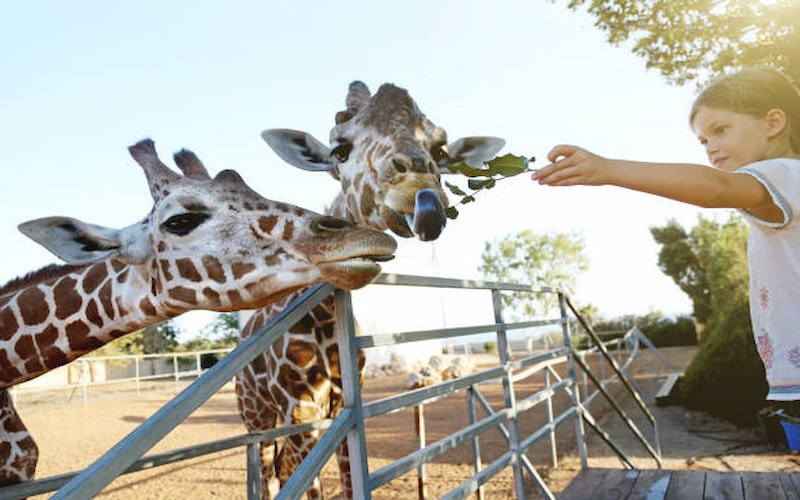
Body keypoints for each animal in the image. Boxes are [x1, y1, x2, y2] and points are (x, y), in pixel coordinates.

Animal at [234, 80, 504, 498]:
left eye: (440, 151)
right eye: (339, 150)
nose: (421, 192)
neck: (326, 325)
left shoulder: (345, 409)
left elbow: (348, 482)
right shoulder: (301, 410)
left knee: (277, 470)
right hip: (256, 418)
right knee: (266, 472)